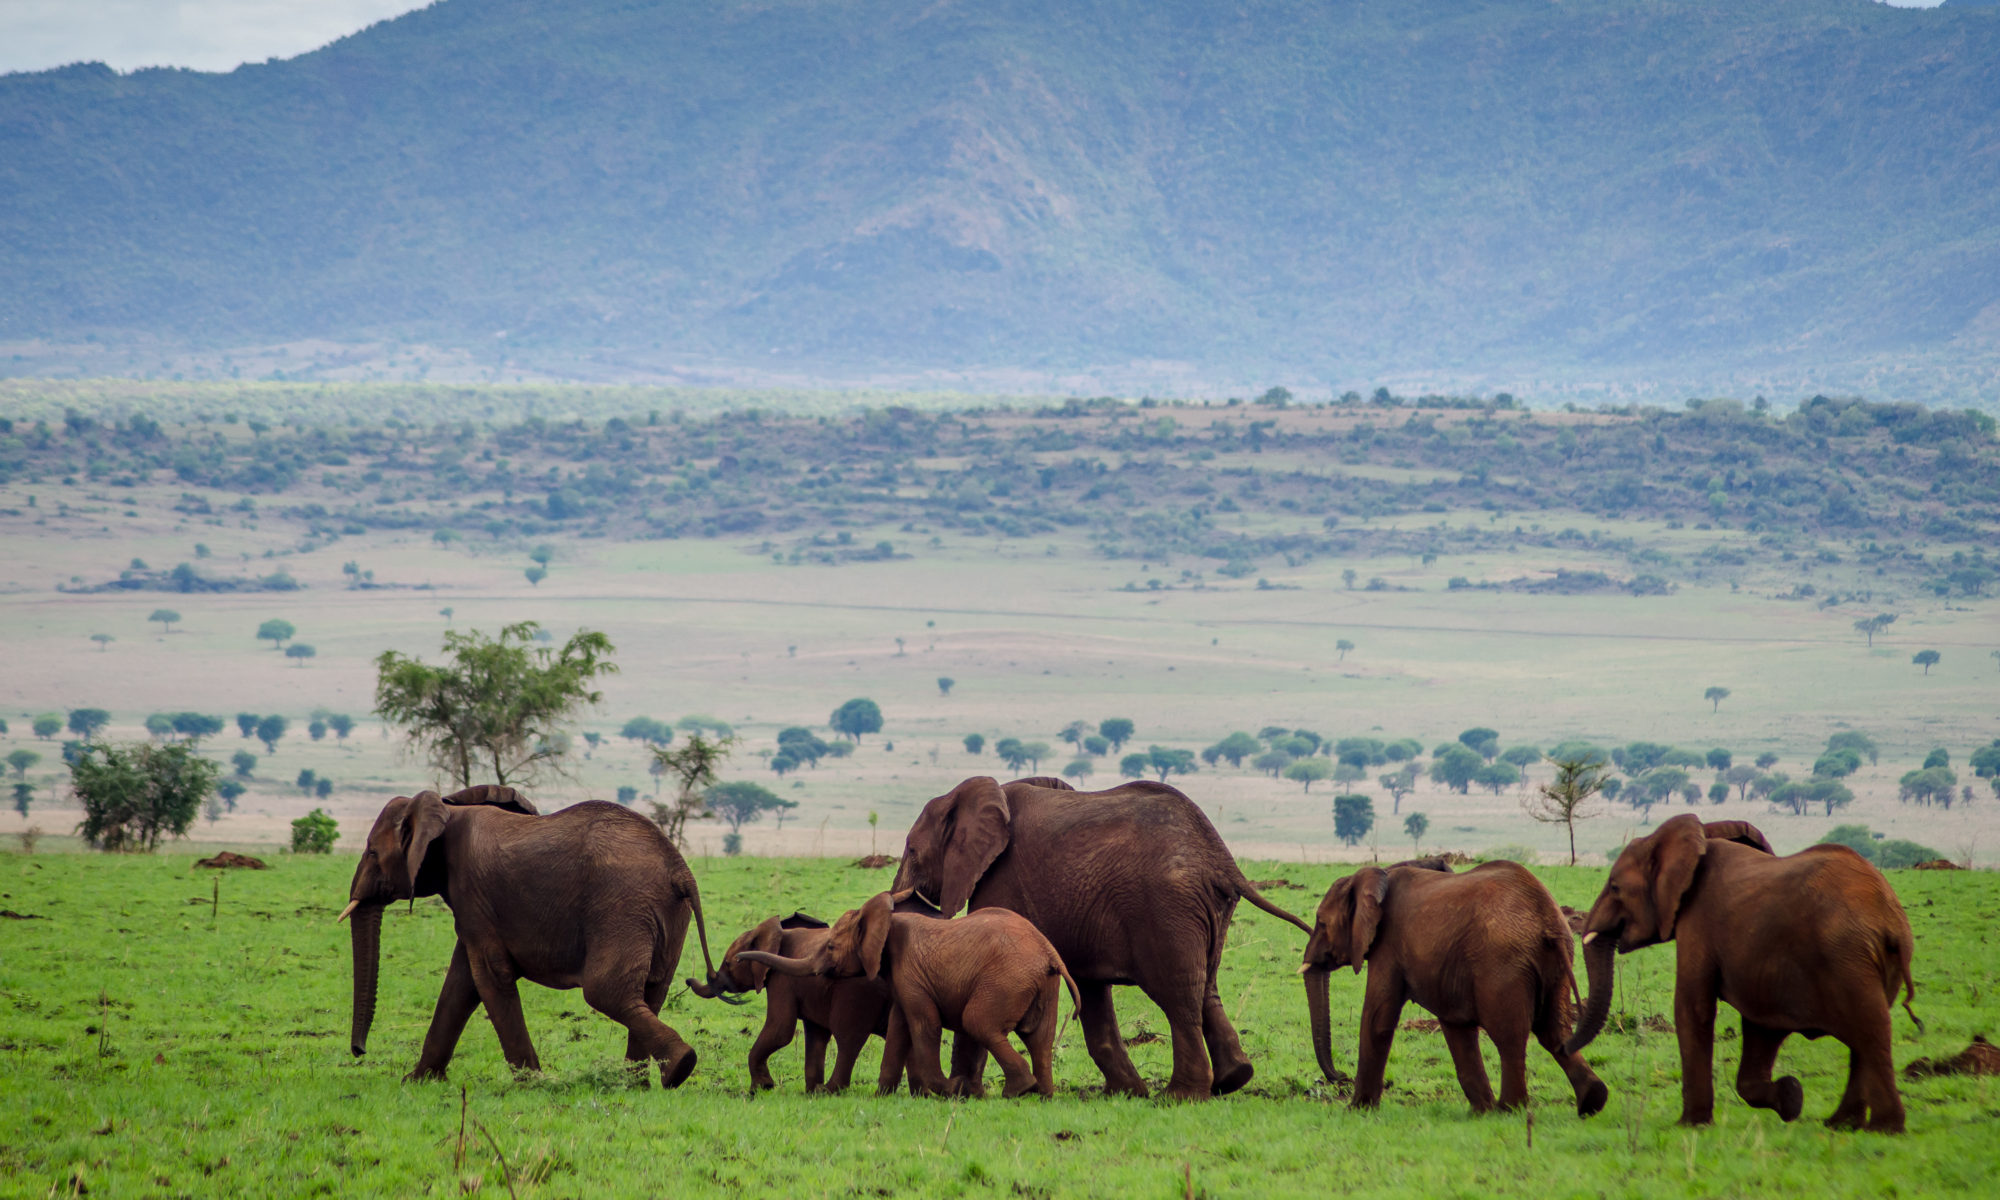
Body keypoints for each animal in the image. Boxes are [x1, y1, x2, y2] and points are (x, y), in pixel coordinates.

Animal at [342, 788, 720, 1088]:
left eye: (372, 852)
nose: (359, 1051)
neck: (446, 805)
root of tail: (681, 870)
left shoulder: (471, 893)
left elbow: (489, 977)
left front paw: (532, 1083)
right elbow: (460, 984)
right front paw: (418, 1081)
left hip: (622, 907)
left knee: (606, 992)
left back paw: (679, 1067)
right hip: (664, 913)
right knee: (652, 989)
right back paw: (638, 1083)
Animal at [740, 892, 1080, 1096]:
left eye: (832, 947)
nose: (742, 955)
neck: (885, 920)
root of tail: (1050, 953)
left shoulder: (911, 972)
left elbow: (923, 1025)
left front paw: (949, 1090)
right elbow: (899, 1027)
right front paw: (883, 1095)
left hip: (1008, 980)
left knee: (978, 1022)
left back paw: (1018, 1091)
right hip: (1043, 986)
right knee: (1040, 1039)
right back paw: (1042, 1095)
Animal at [892, 780, 1312, 1096]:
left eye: (912, 850)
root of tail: (1219, 856)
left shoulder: (1002, 880)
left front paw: (963, 1093)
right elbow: (1091, 990)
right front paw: (1124, 1094)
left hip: (1166, 909)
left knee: (1178, 997)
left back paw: (1179, 1097)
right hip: (1206, 911)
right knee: (1206, 988)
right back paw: (1232, 1080)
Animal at [1296, 856, 1608, 1120]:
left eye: (1321, 922)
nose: (1340, 1076)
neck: (1377, 875)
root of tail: (1547, 920)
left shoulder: (1388, 946)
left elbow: (1378, 1019)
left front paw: (1356, 1110)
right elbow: (1456, 1026)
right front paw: (1480, 1113)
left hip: (1502, 966)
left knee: (1510, 1036)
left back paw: (1509, 1110)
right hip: (1556, 964)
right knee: (1554, 1032)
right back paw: (1592, 1101)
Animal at [1560, 812, 1920, 1128]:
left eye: (1615, 887)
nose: (1564, 1046)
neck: (1698, 837)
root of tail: (1889, 921)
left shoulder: (1699, 920)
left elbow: (1692, 1007)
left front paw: (1690, 1124)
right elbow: (1761, 1027)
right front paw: (1791, 1098)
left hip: (1847, 956)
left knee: (1871, 1031)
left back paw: (1884, 1128)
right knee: (1863, 1038)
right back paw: (1841, 1125)